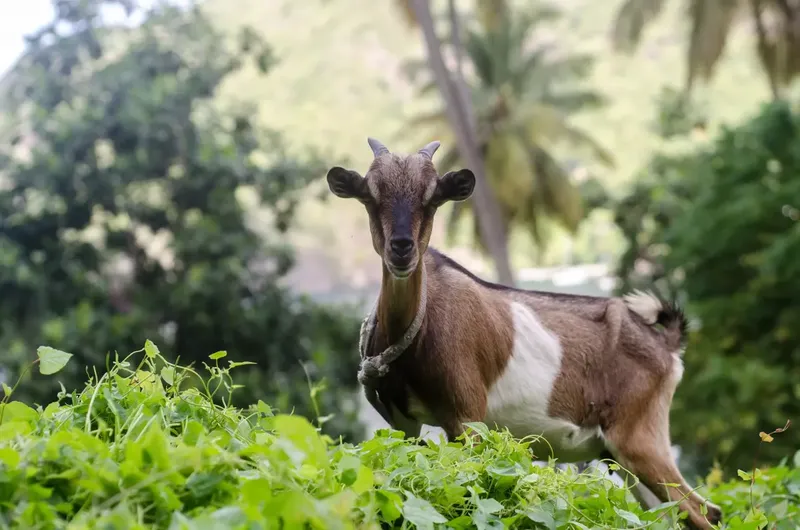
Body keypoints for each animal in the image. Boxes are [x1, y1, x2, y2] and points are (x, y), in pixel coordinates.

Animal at [326, 138, 722, 529]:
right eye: (370, 195)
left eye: (433, 197)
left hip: (639, 438)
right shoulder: (401, 421)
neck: (420, 326)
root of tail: (666, 344)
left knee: (703, 512)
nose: (402, 249)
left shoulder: (467, 416)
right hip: (619, 458)